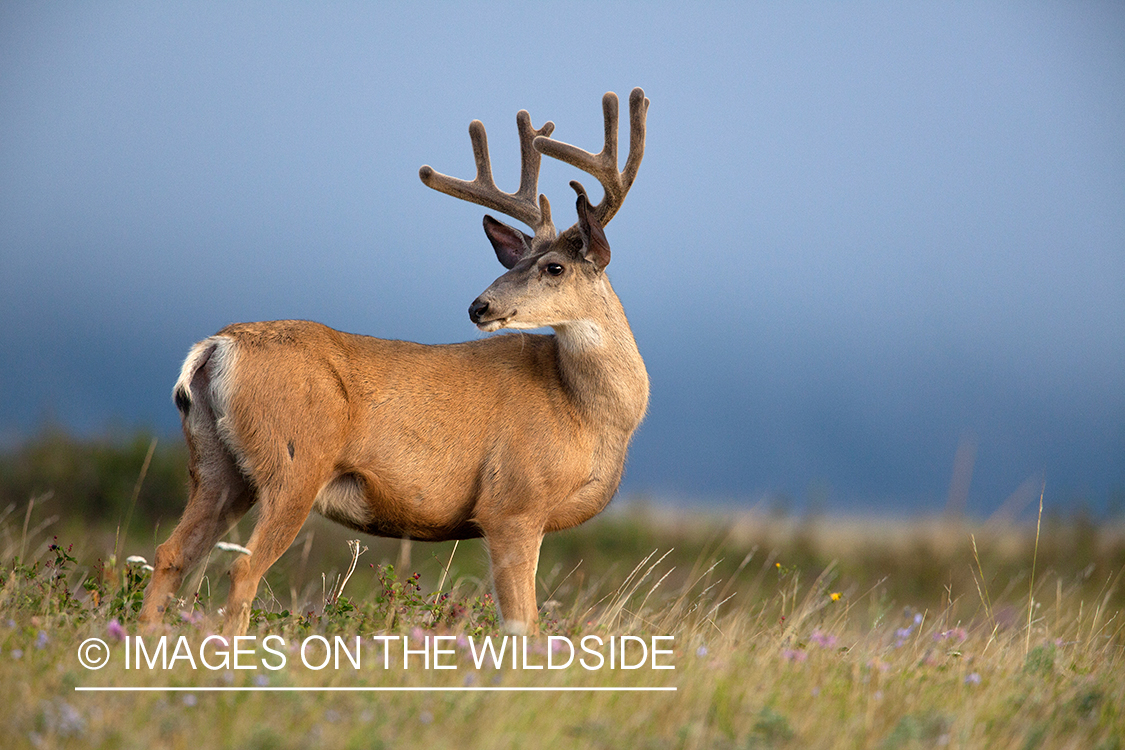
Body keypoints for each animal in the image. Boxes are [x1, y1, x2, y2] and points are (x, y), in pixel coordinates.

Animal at [138, 88, 650, 637]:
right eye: (518, 263)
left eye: (554, 267)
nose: (479, 307)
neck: (588, 413)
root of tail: (216, 346)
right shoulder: (512, 504)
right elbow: (523, 623)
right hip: (294, 461)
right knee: (241, 567)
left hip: (216, 466)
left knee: (171, 553)